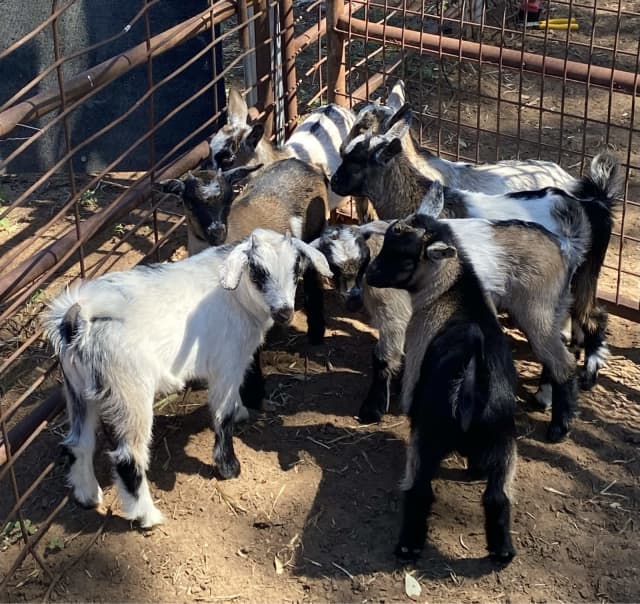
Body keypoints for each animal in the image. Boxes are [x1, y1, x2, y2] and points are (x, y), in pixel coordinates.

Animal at [43, 229, 332, 528]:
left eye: (296, 268)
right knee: (128, 458)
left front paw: (242, 413)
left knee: (78, 443)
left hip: (78, 390)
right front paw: (229, 467)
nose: (284, 311)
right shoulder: (227, 364)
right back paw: (148, 517)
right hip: (129, 392)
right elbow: (223, 415)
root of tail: (78, 318)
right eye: (257, 272)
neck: (238, 297)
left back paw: (87, 496)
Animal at [367, 213, 518, 562]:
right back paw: (502, 551)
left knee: (420, 490)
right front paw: (474, 469)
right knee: (497, 496)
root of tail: (471, 367)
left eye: (404, 256)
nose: (370, 274)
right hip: (503, 437)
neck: (452, 292)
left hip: (428, 434)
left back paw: (408, 546)